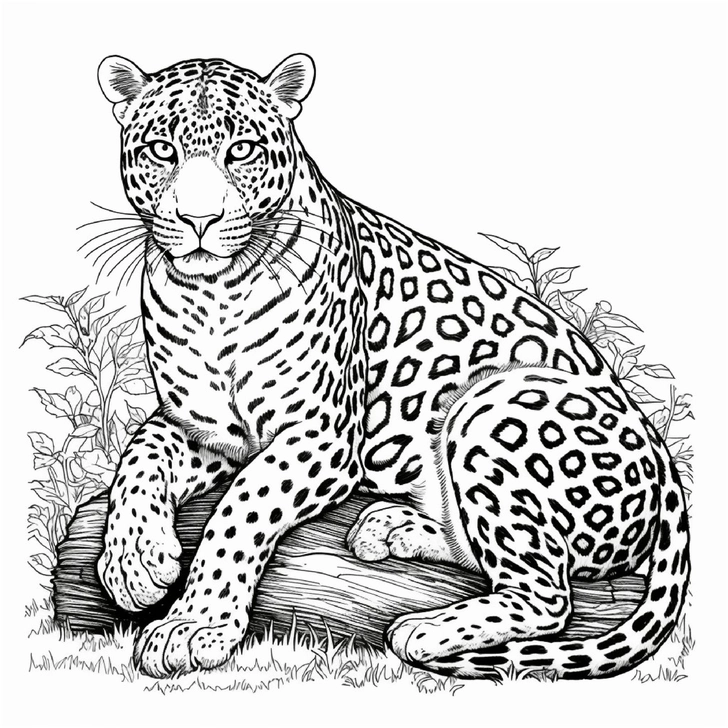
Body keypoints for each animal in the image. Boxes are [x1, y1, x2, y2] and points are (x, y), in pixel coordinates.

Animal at [95, 52, 690, 680]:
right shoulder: (203, 429)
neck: (211, 296)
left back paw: (422, 630)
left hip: (492, 405)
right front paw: (134, 563)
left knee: (546, 593)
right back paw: (393, 529)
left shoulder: (323, 437)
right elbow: (138, 461)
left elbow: (241, 510)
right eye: (161, 150)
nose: (199, 219)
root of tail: (667, 474)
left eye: (243, 150)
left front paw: (195, 626)